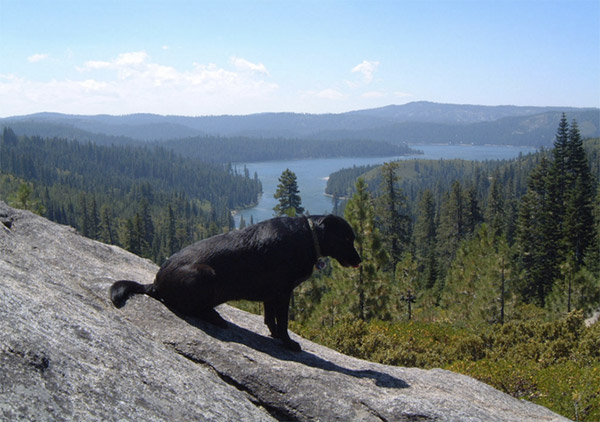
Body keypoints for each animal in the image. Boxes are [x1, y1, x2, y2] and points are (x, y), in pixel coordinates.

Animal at [109, 216, 358, 352]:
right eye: (347, 238)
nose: (360, 260)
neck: (308, 235)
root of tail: (155, 283)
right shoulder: (283, 293)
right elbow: (283, 322)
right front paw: (289, 344)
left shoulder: (272, 295)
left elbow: (270, 320)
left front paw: (275, 336)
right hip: (204, 275)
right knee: (188, 307)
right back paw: (216, 318)